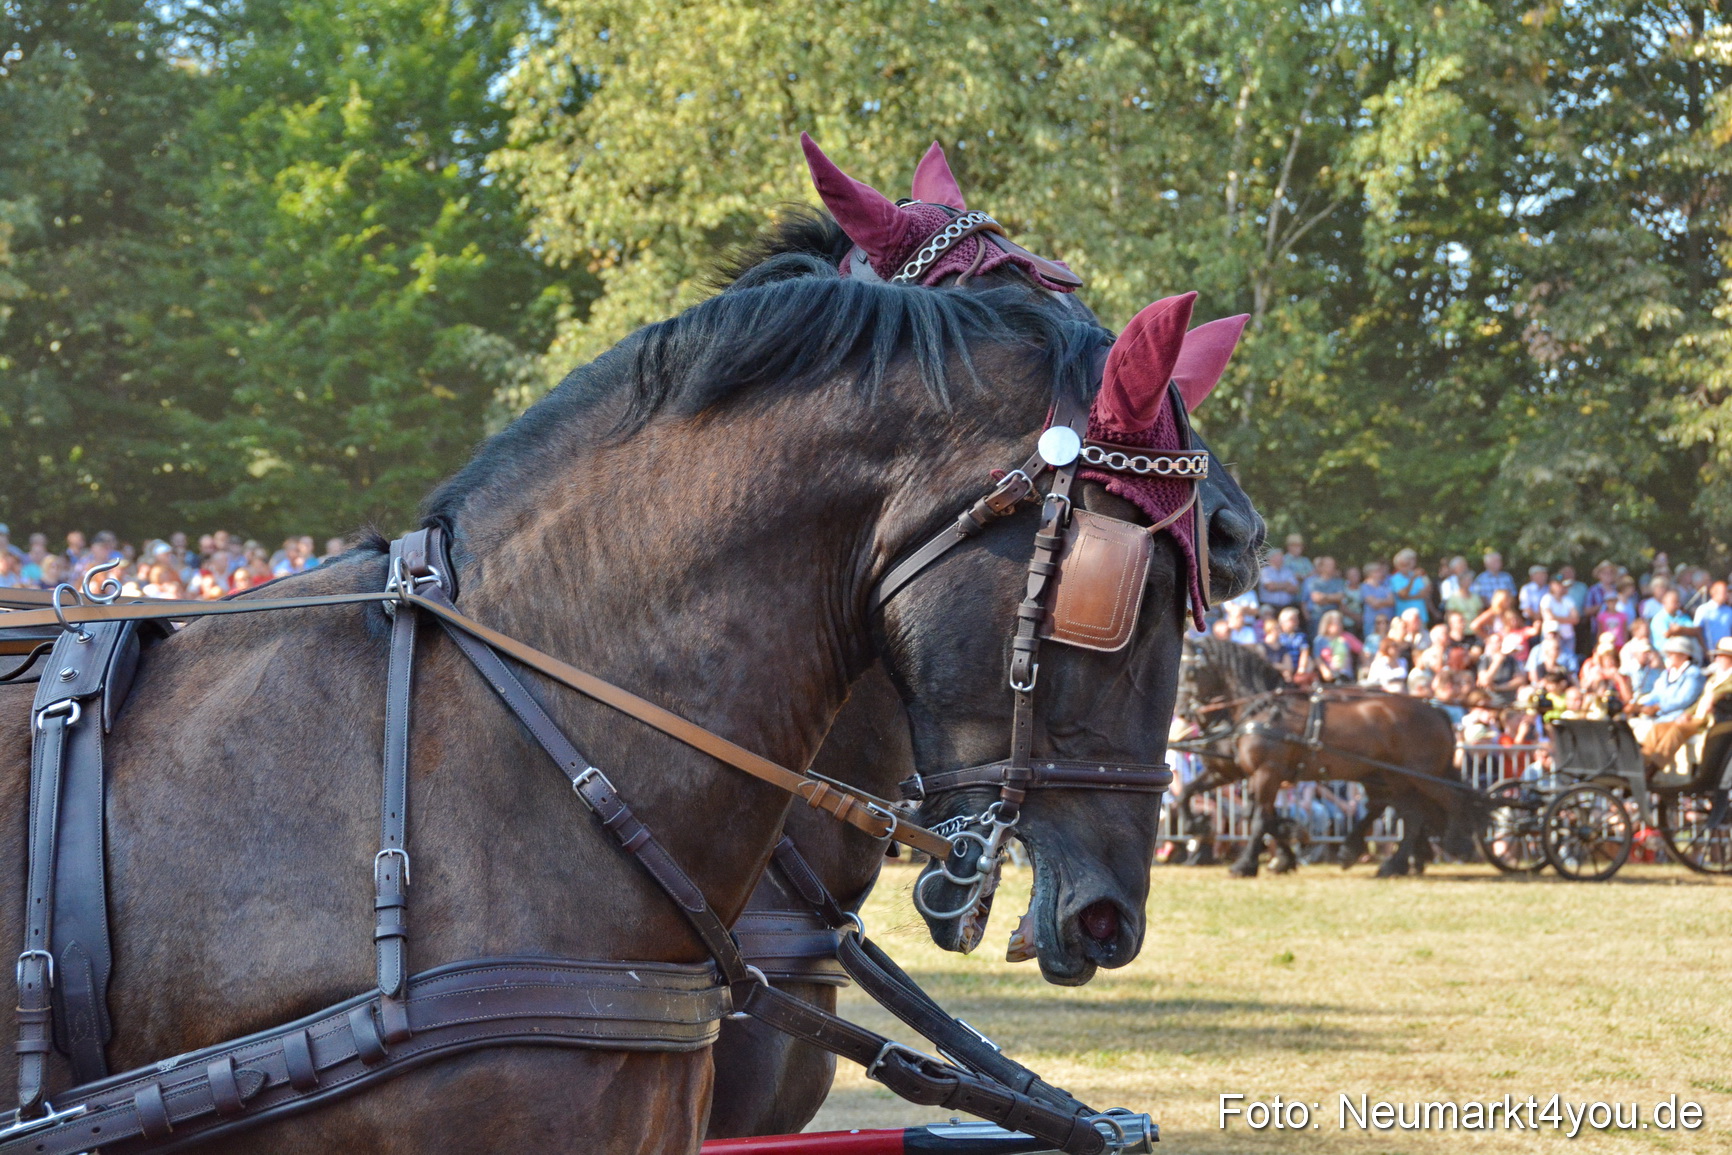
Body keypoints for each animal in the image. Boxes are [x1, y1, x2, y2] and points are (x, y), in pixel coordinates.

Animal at [1171, 637, 1482, 878]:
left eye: (1191, 672)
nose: (1183, 711)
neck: (1261, 710)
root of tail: (1435, 711)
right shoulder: (1232, 770)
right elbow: (1187, 793)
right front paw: (1198, 825)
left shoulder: (1266, 772)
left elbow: (1259, 818)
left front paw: (1246, 864)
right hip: (1390, 776)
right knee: (1407, 813)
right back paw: (1388, 862)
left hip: (1419, 776)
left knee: (1448, 802)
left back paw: (1452, 845)